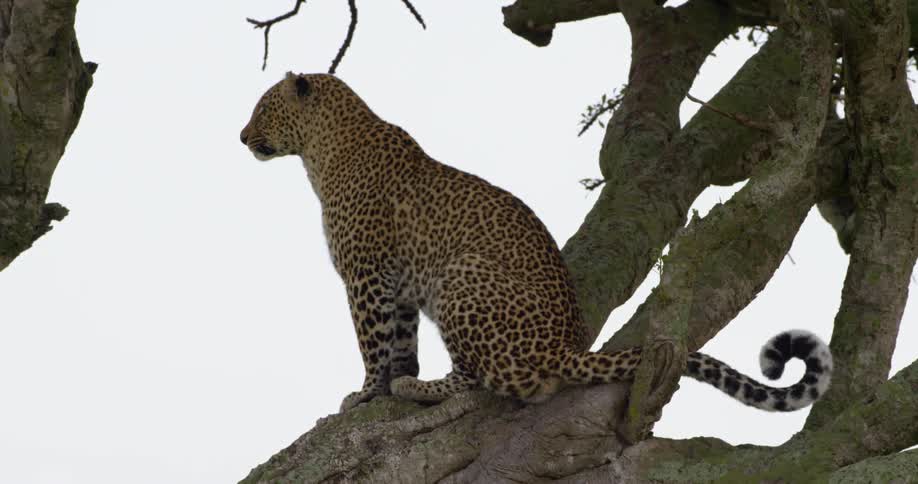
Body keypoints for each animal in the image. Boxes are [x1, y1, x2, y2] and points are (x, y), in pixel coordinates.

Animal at [240, 72, 833, 413]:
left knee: (485, 378)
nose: (242, 137)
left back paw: (425, 391)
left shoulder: (364, 275)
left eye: (262, 108)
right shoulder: (399, 283)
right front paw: (395, 378)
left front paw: (367, 392)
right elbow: (401, 340)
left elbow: (371, 341)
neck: (322, 150)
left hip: (461, 276)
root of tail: (564, 348)